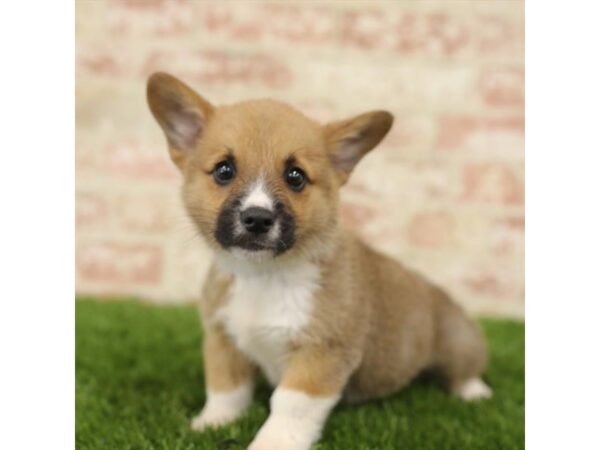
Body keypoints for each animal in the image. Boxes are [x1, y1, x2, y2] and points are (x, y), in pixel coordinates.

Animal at [146, 72, 492, 448]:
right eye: (224, 171)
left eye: (295, 176)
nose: (257, 219)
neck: (264, 274)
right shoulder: (223, 338)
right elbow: (226, 389)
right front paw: (213, 423)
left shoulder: (321, 353)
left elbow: (290, 405)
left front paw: (272, 443)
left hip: (456, 343)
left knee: (465, 368)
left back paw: (475, 392)